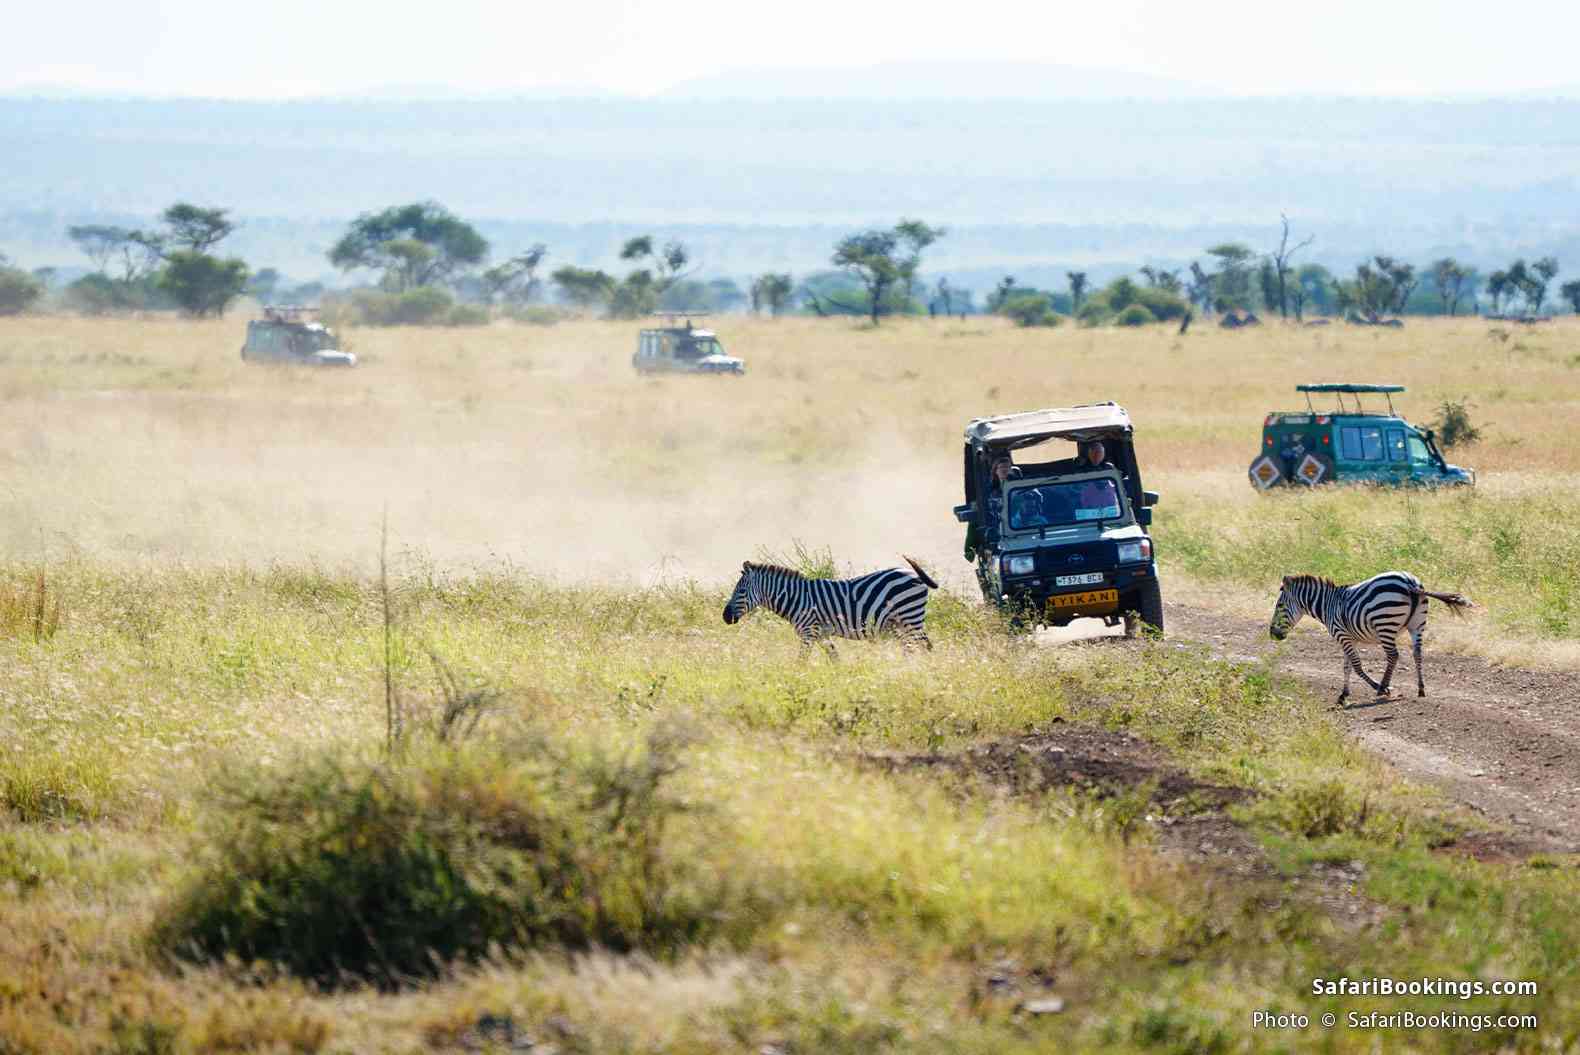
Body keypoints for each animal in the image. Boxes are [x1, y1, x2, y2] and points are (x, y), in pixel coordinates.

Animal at [723, 557, 938, 653]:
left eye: (741, 592)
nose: (725, 617)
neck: (795, 598)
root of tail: (914, 575)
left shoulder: (808, 632)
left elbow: (801, 662)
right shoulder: (821, 635)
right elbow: (835, 659)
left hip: (910, 617)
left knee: (925, 646)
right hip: (901, 624)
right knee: (913, 647)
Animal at [1269, 571, 1472, 705]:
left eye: (1279, 605)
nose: (1272, 634)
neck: (1328, 605)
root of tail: (1410, 584)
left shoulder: (1342, 635)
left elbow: (1357, 666)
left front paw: (1376, 688)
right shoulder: (1349, 638)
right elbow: (1346, 666)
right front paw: (1343, 695)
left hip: (1385, 624)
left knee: (1393, 656)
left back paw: (1383, 687)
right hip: (1417, 625)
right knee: (1417, 654)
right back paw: (1421, 689)